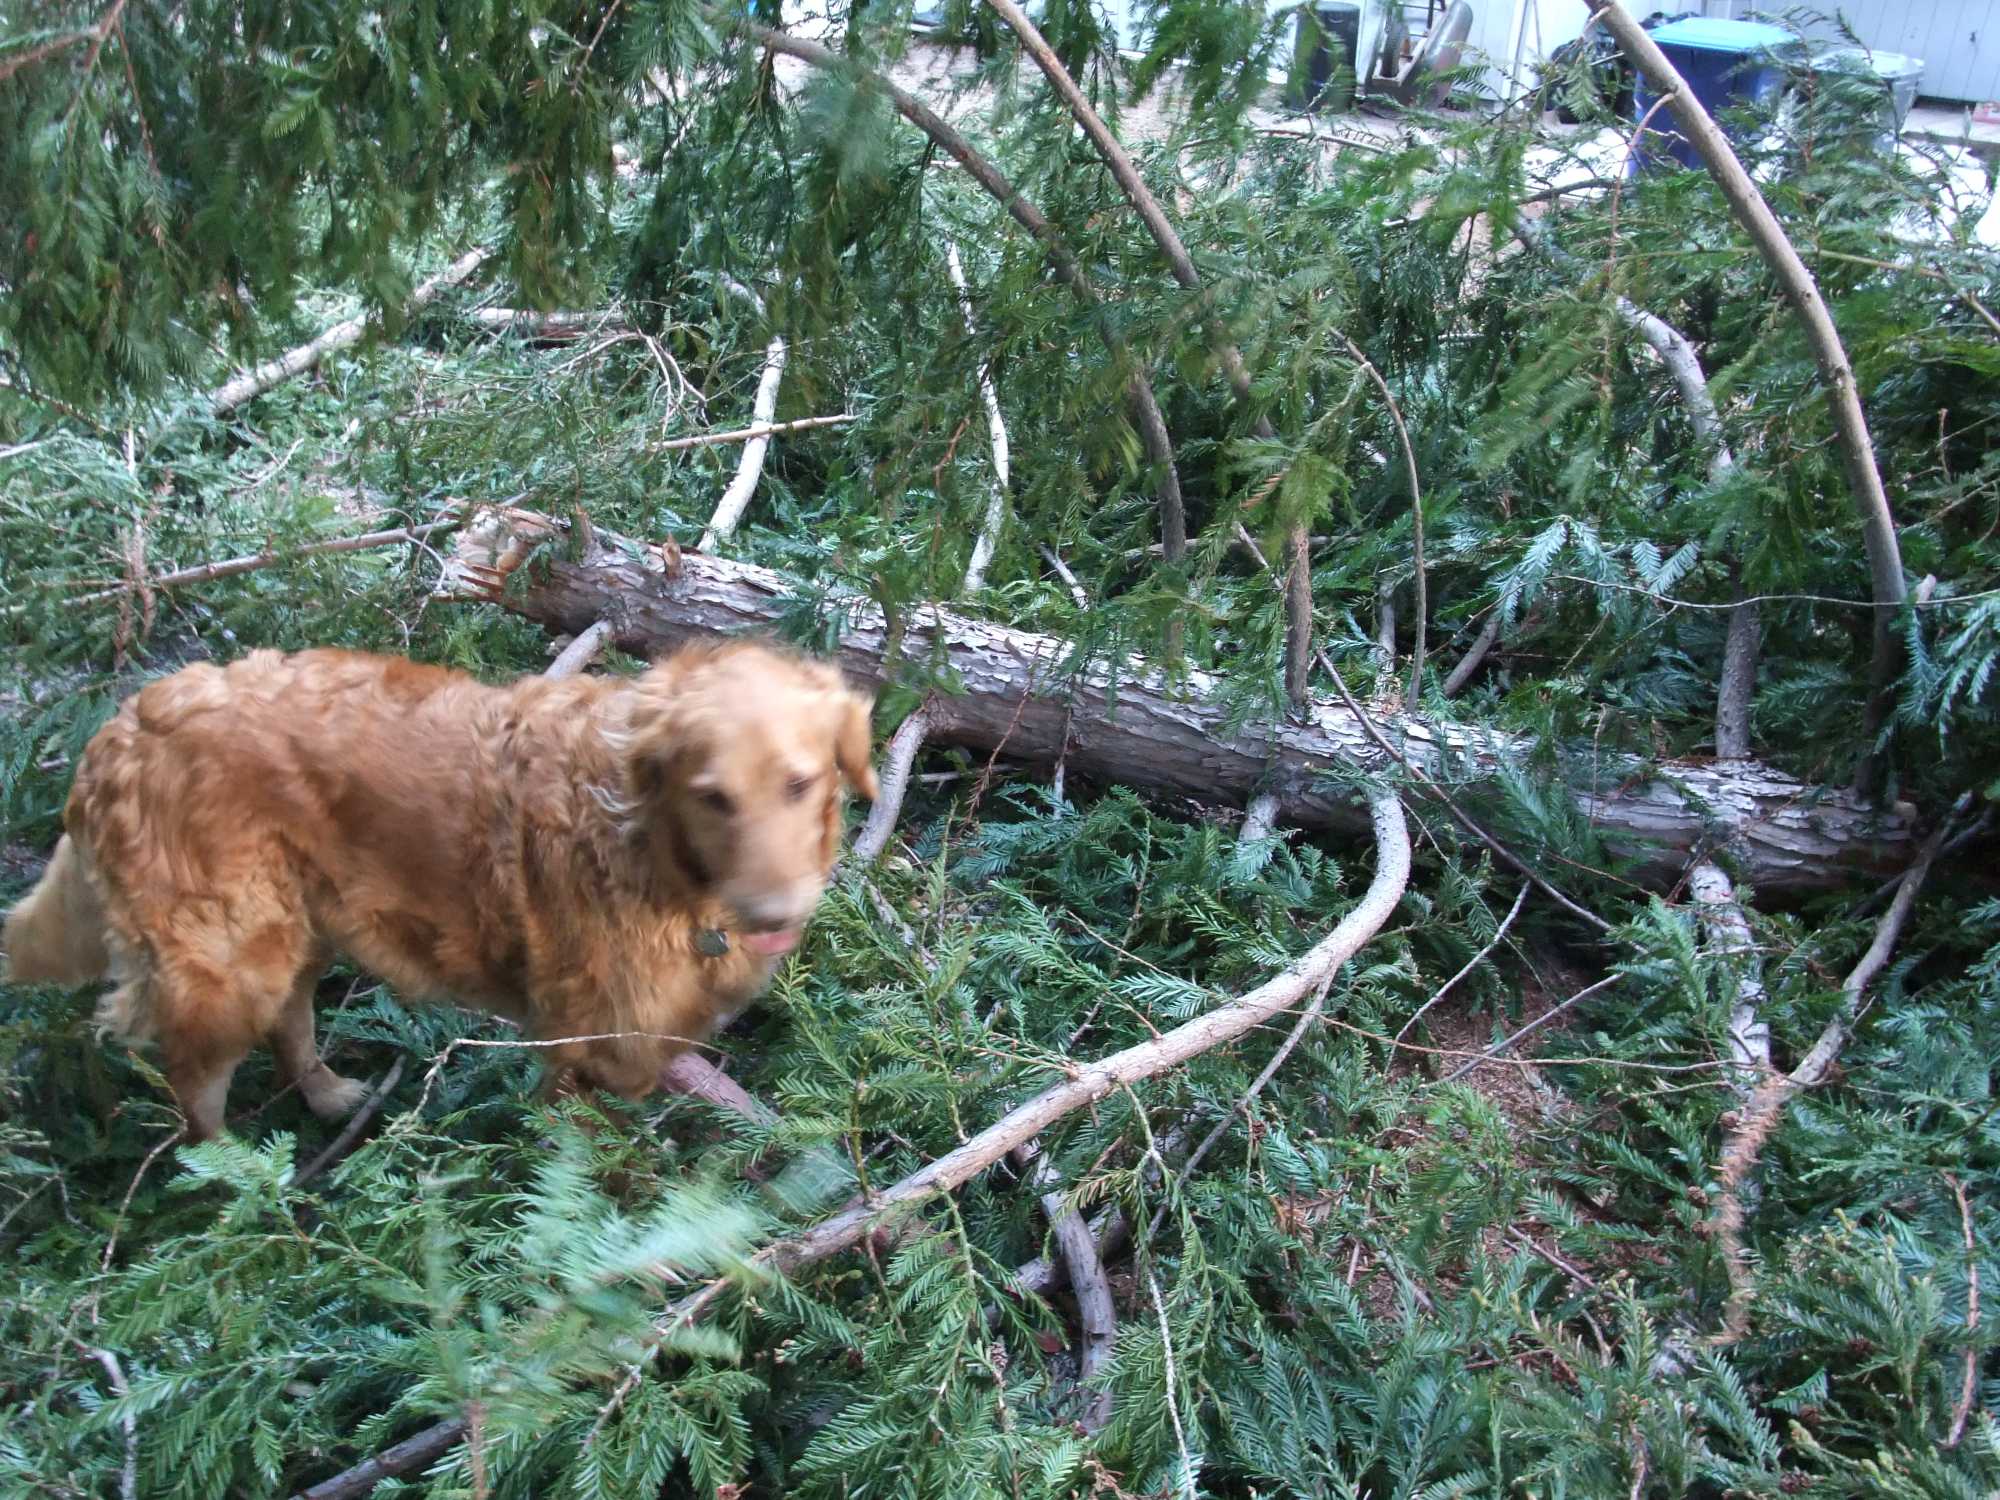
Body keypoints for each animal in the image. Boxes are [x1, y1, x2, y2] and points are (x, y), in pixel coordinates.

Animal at [2, 640, 877, 1140]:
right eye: (712, 796)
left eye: (799, 785)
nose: (774, 915)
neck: (654, 852)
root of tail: (118, 732)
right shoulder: (583, 1046)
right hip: (227, 969)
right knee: (198, 1099)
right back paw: (245, 1191)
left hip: (297, 929)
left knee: (292, 1024)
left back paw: (328, 1098)